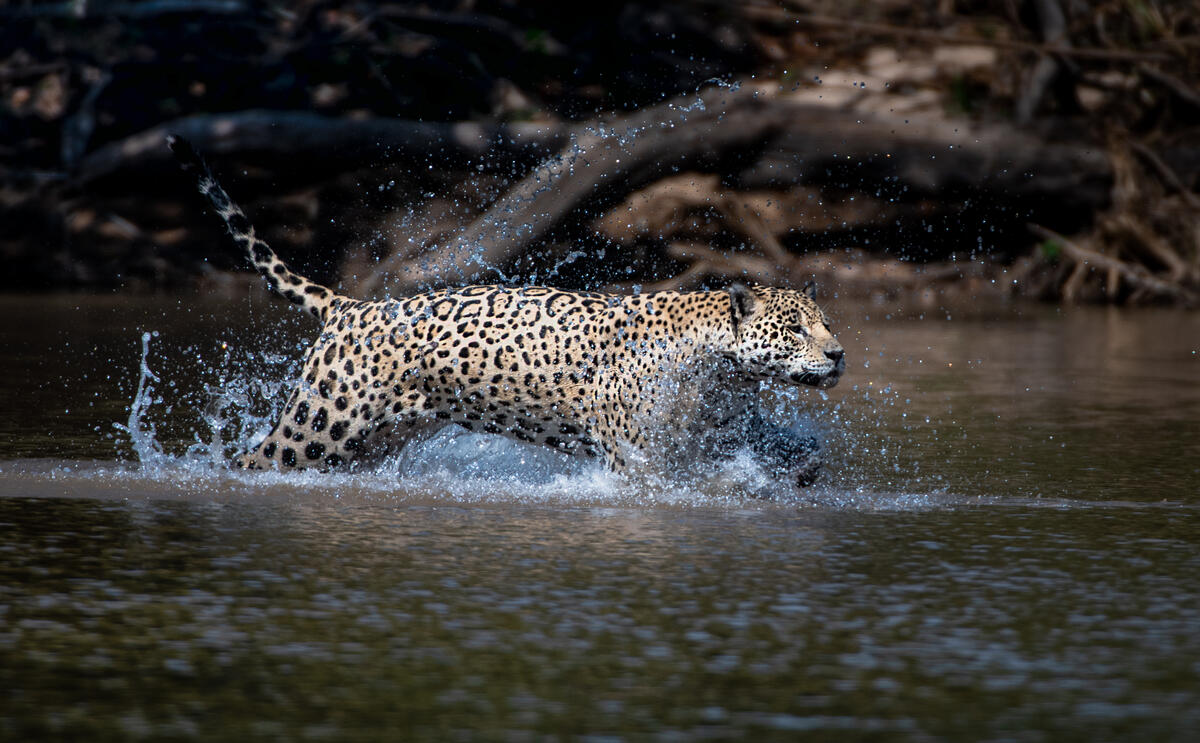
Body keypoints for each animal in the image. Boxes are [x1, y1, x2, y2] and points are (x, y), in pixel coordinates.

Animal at [167, 135, 846, 485]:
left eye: (826, 326)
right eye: (793, 329)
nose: (838, 355)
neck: (720, 368)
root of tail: (352, 306)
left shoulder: (725, 425)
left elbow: (774, 446)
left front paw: (804, 467)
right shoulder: (635, 459)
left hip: (368, 443)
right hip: (319, 428)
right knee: (253, 459)